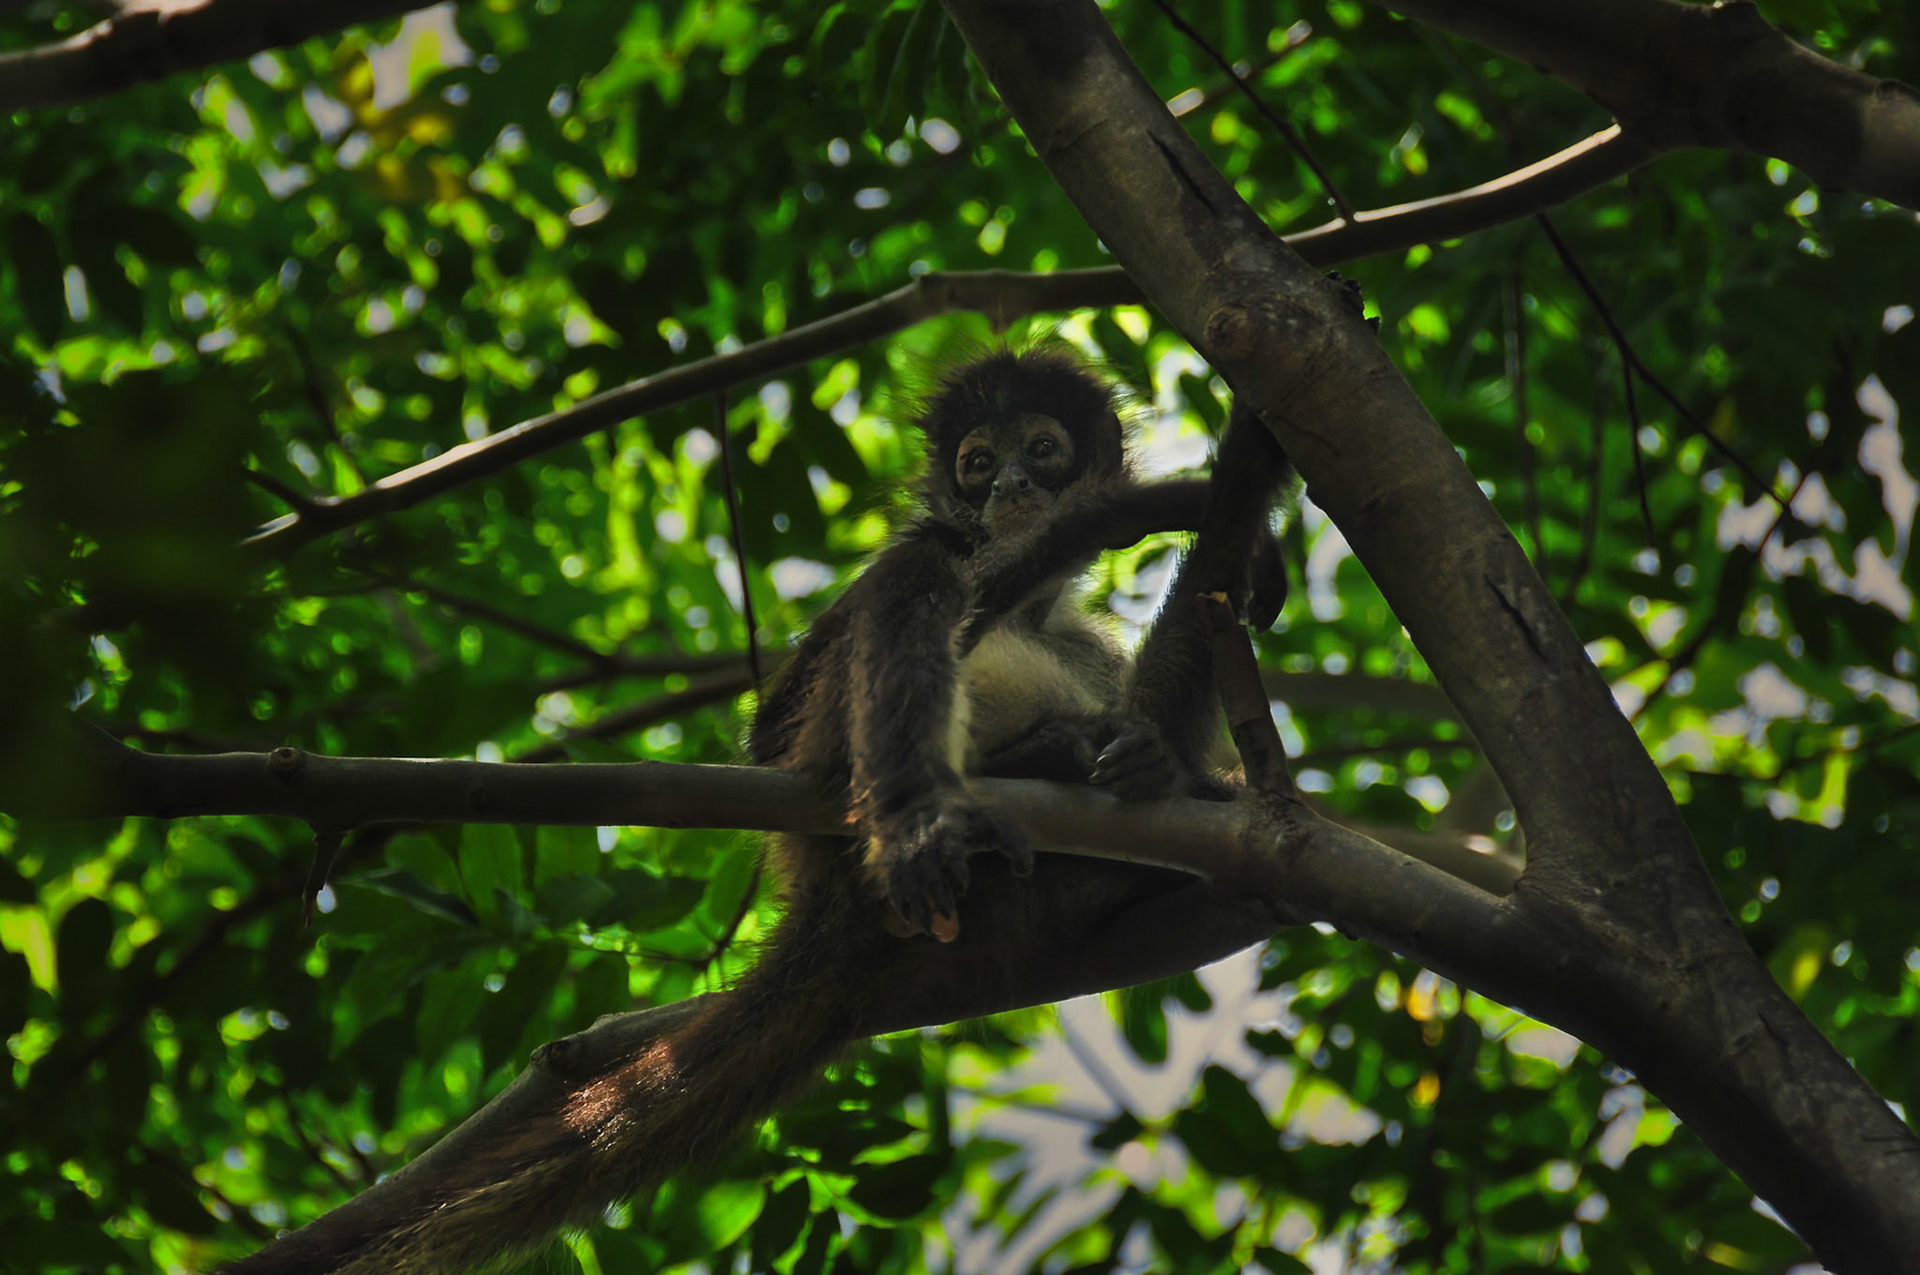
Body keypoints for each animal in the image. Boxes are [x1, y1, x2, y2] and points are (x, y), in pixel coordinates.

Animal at [225, 350, 1294, 1275]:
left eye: (1041, 447)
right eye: (976, 463)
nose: (1007, 493)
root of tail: (829, 906)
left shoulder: (1081, 641)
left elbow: (1150, 721)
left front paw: (1159, 736)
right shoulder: (910, 579)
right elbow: (791, 703)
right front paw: (1162, 501)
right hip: (834, 787)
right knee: (914, 591)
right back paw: (942, 807)